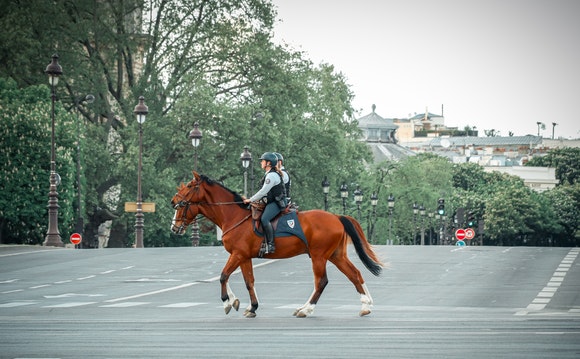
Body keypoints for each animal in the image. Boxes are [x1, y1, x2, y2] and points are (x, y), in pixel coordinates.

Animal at [170, 173, 382, 320]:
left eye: (190, 186)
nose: (174, 202)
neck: (234, 215)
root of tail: (337, 217)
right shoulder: (244, 257)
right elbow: (248, 281)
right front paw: (251, 307)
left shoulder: (237, 254)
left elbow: (223, 276)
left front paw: (228, 302)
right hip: (336, 255)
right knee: (355, 274)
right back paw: (365, 305)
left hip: (319, 257)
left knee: (321, 282)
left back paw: (306, 309)